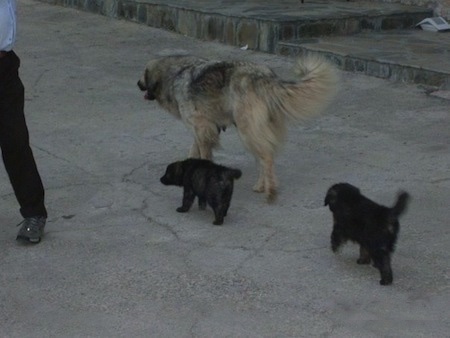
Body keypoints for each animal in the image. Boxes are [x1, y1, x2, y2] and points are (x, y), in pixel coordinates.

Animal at [137, 54, 338, 202]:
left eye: (144, 74)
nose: (138, 84)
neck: (175, 75)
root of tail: (266, 77)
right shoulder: (203, 128)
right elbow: (193, 151)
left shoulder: (201, 127)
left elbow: (202, 153)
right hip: (254, 132)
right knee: (265, 158)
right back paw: (261, 185)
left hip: (247, 131)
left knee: (266, 157)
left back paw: (270, 190)